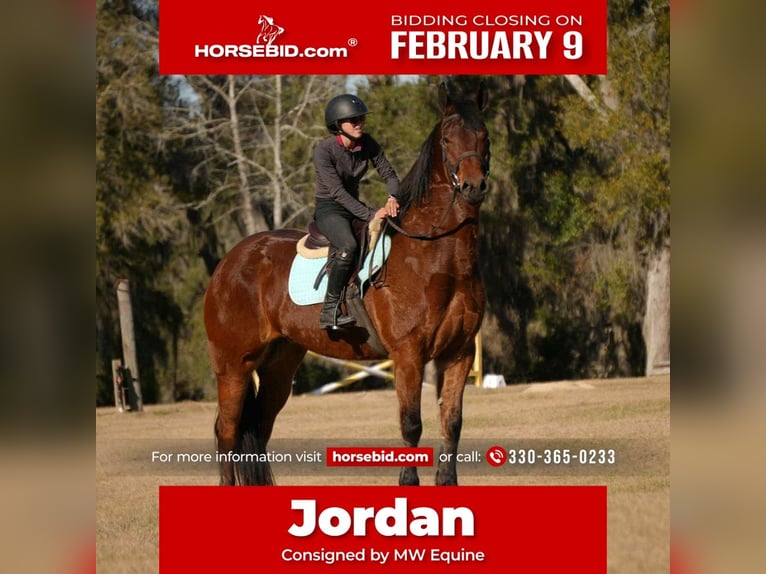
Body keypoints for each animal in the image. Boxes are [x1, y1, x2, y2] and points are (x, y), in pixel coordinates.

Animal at [204, 82, 490, 486]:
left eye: (484, 136)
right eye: (448, 139)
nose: (473, 187)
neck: (438, 256)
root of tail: (227, 264)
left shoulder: (459, 354)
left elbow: (452, 423)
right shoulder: (408, 355)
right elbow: (411, 425)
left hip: (279, 365)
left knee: (257, 427)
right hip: (233, 365)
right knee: (227, 431)